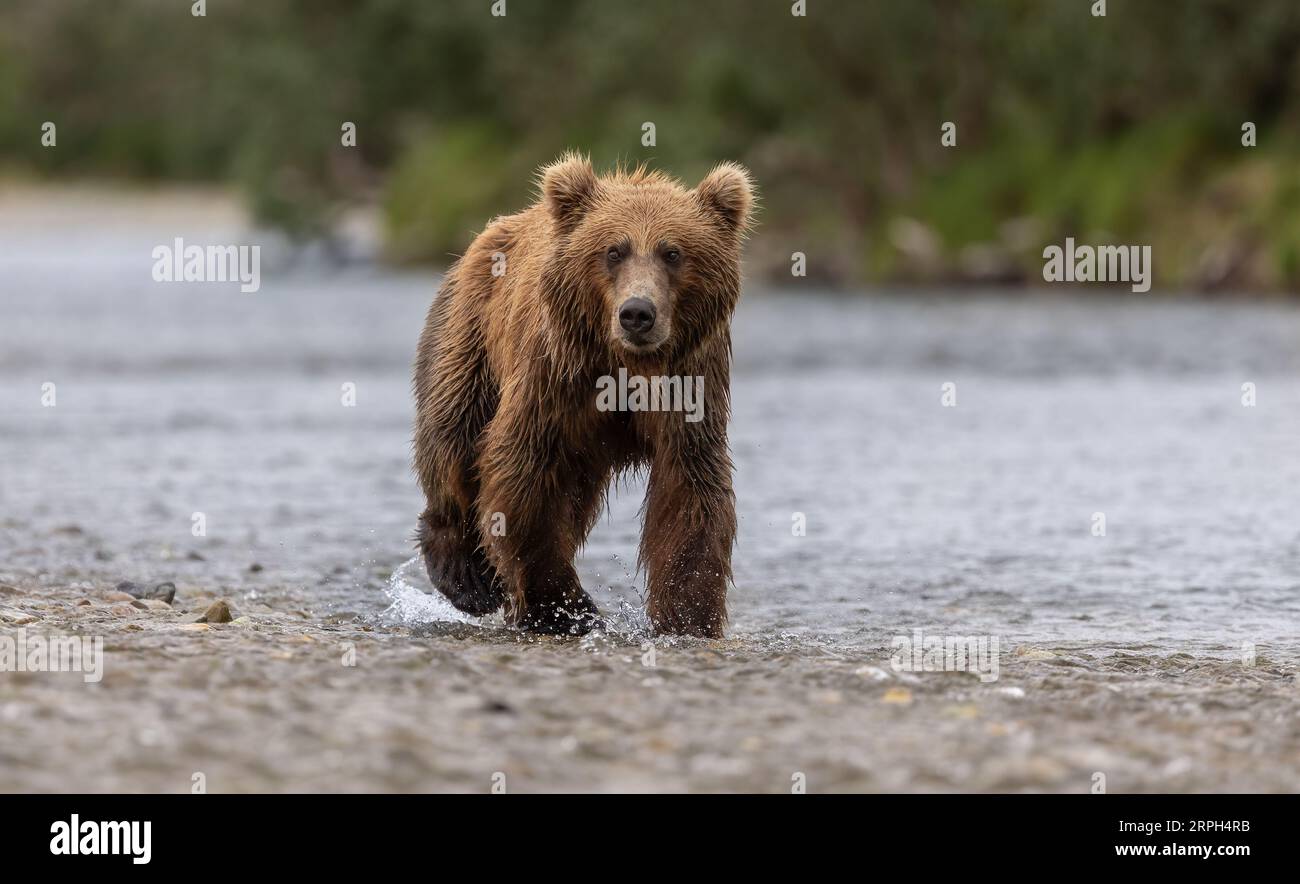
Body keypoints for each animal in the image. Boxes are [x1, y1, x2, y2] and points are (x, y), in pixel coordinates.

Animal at [410, 152, 748, 634]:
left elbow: (691, 489)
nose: (637, 313)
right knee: (453, 439)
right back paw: (468, 578)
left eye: (672, 252)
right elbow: (523, 472)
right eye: (614, 250)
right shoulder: (557, 377)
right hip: (470, 334)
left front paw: (687, 617)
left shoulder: (688, 383)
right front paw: (564, 607)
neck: (624, 365)